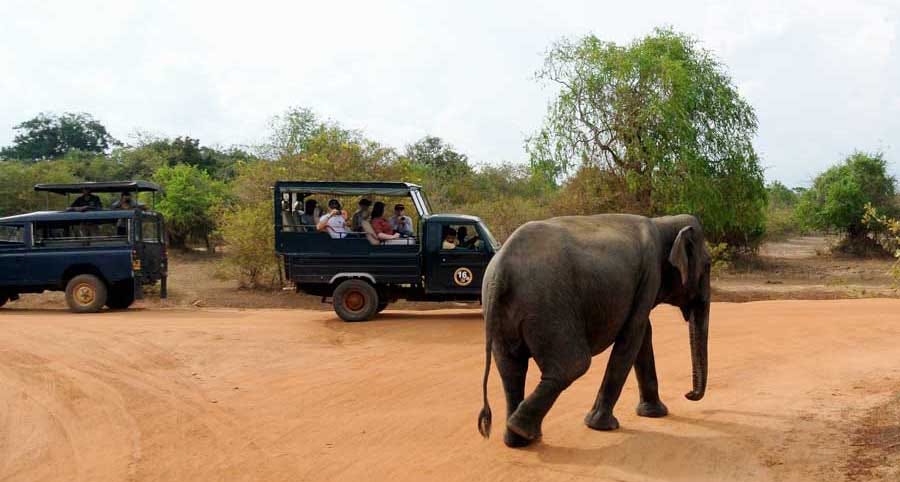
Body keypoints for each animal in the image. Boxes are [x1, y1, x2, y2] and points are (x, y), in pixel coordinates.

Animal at [477, 214, 711, 447]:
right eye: (707, 266)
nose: (688, 394)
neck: (662, 223)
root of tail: (500, 271)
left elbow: (643, 332)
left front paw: (654, 414)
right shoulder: (650, 275)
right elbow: (633, 334)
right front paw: (602, 426)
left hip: (504, 314)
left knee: (511, 369)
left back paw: (518, 439)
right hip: (548, 307)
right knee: (573, 365)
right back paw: (522, 430)